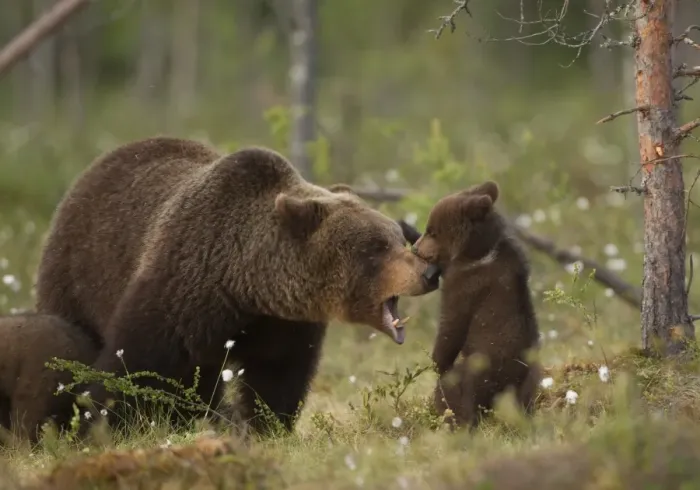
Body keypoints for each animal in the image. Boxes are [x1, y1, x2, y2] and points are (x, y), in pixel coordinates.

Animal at [34, 137, 439, 434]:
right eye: (377, 247)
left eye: (398, 238)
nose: (430, 272)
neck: (244, 286)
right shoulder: (179, 290)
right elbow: (133, 362)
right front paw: (96, 422)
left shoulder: (283, 324)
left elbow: (277, 378)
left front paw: (265, 426)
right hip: (78, 273)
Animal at [401, 181, 541, 428]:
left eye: (432, 231)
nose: (416, 248)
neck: (476, 253)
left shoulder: (467, 286)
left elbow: (451, 325)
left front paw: (437, 361)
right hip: (529, 378)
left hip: (480, 370)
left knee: (453, 392)